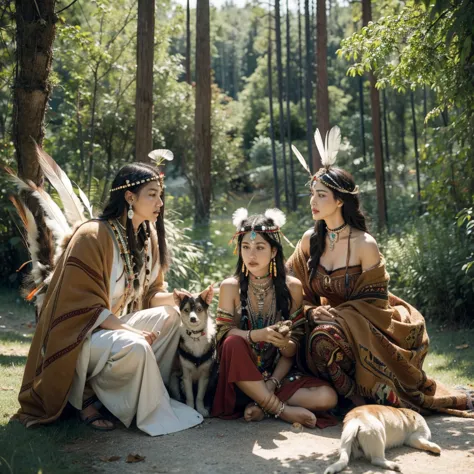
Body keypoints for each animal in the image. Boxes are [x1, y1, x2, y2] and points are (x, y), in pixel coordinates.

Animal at [168, 286, 215, 416]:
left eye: (199, 309)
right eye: (186, 310)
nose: (192, 318)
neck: (196, 337)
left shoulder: (205, 375)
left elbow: (199, 396)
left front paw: (201, 409)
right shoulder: (186, 375)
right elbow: (190, 396)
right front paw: (191, 409)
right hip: (174, 380)